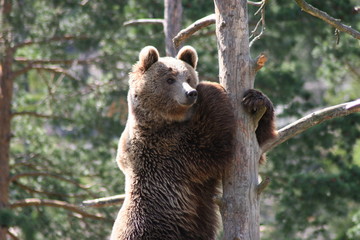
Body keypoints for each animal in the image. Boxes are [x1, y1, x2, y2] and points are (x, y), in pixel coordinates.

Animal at [109, 45, 276, 240]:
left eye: (188, 77)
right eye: (170, 79)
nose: (191, 93)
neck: (167, 120)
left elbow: (258, 146)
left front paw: (255, 99)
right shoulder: (162, 149)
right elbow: (206, 144)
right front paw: (211, 87)